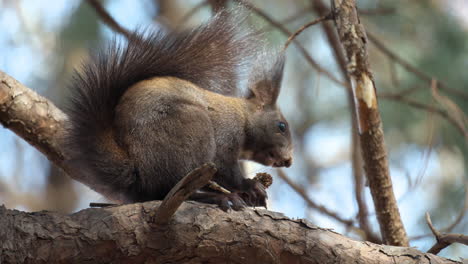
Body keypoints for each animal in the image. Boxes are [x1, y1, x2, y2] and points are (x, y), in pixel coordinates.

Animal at [65, 9, 292, 210]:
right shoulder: (225, 136)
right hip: (193, 131)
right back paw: (218, 199)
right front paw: (250, 185)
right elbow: (225, 169)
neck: (242, 117)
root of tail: (137, 171)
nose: (288, 161)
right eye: (281, 126)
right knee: (170, 190)